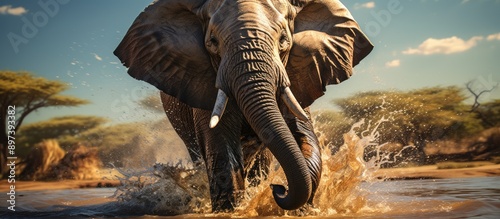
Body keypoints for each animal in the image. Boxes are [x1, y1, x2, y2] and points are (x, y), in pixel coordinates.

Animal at [113, 0, 372, 212]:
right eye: (212, 42)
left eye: (283, 41)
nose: (279, 189)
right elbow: (220, 143)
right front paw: (232, 210)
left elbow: (304, 136)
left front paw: (302, 209)